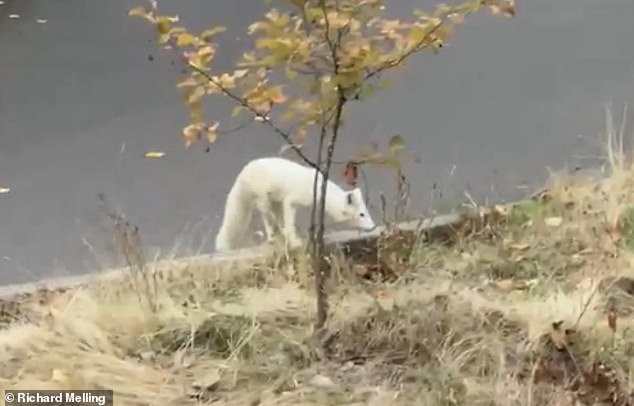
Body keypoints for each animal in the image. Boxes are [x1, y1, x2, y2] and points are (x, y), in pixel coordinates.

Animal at [212, 155, 376, 251]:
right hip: (265, 202)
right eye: (362, 214)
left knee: (271, 221)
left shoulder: (288, 202)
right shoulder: (290, 201)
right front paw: (295, 242)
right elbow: (290, 223)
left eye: (367, 213)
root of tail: (242, 174)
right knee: (269, 219)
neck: (317, 188)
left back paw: (275, 238)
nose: (374, 226)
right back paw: (277, 236)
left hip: (275, 202)